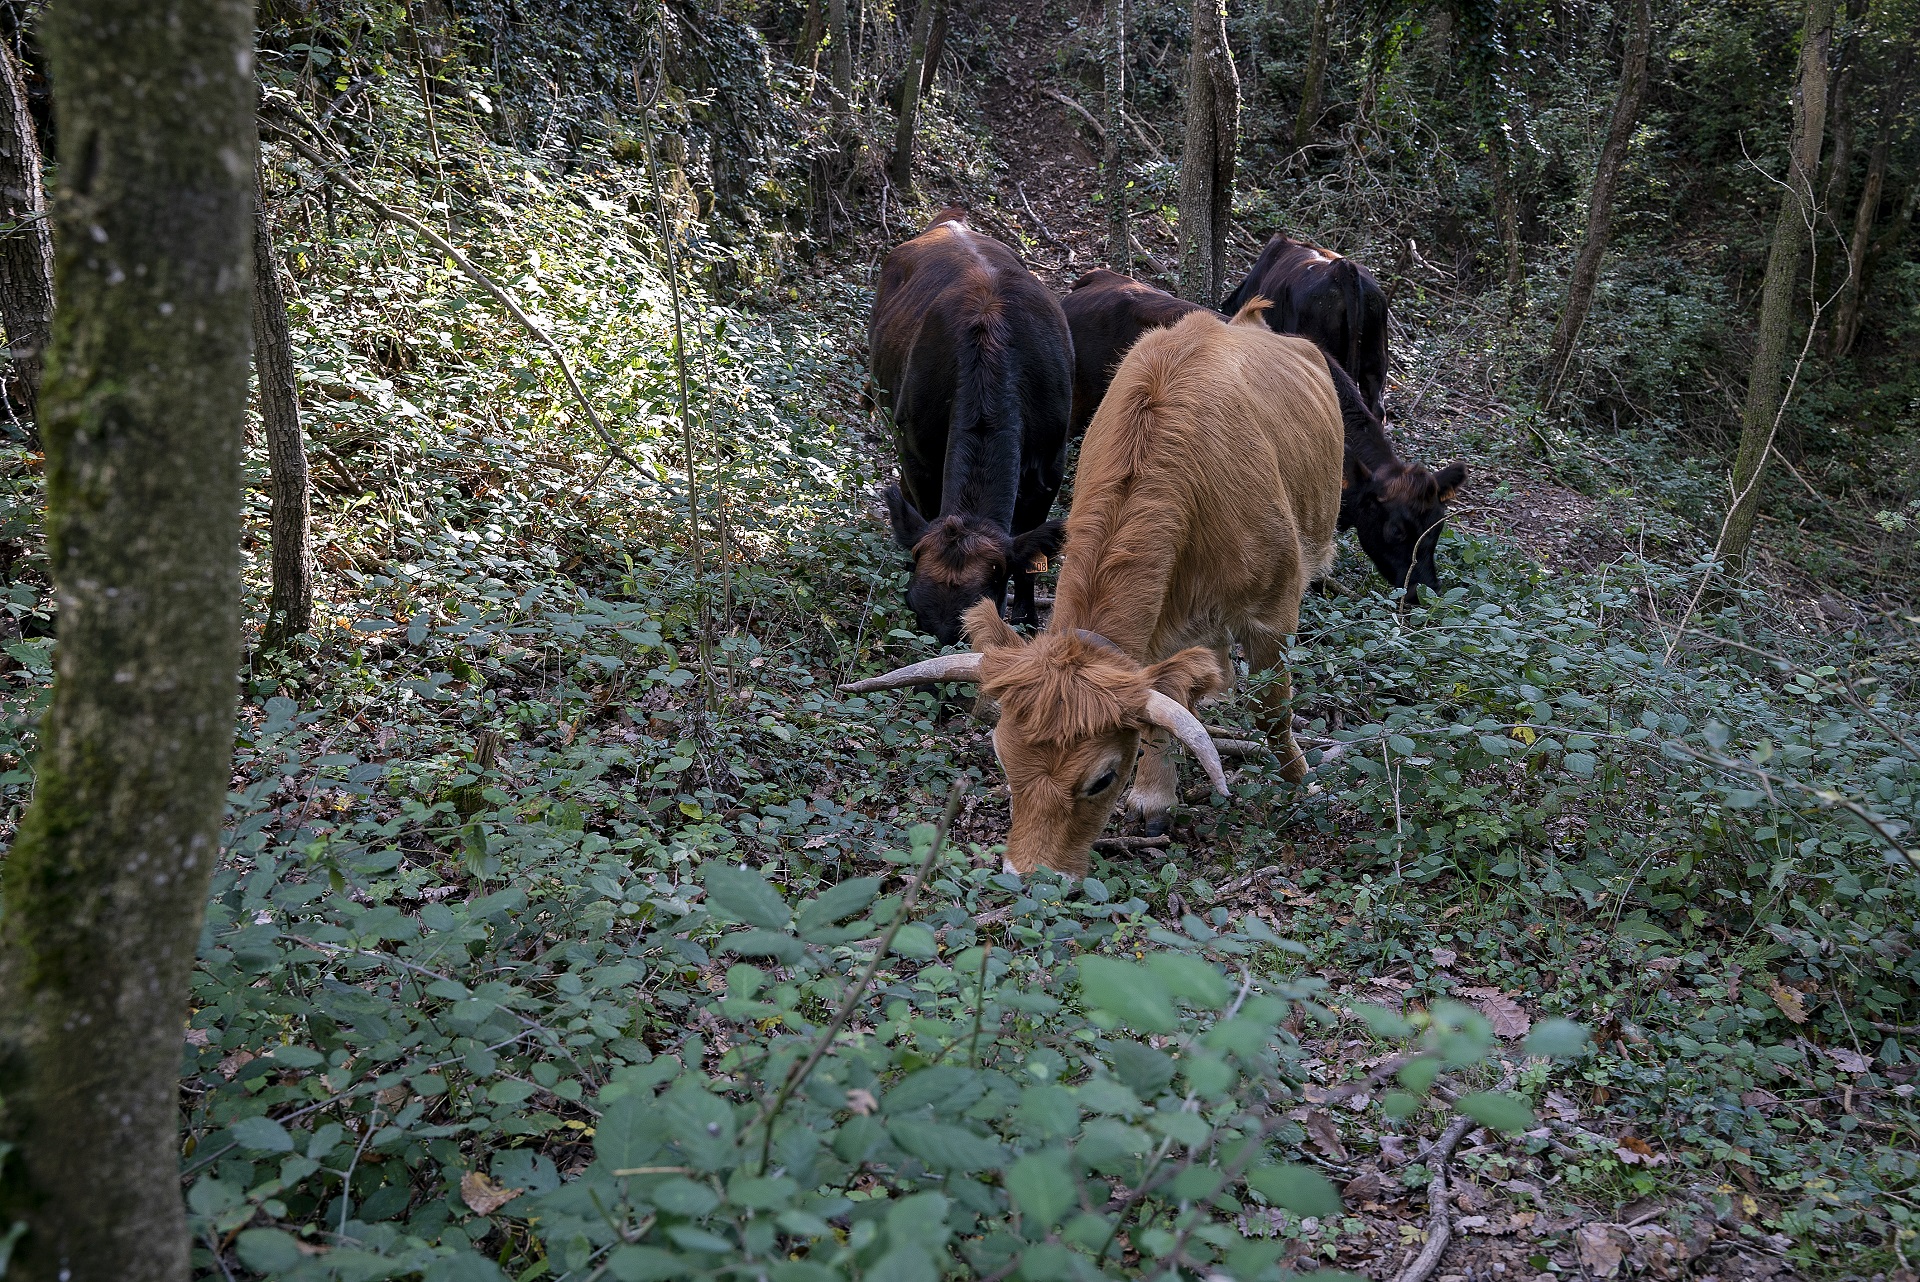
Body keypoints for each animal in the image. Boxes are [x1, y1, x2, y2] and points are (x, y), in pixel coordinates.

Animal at [840, 301, 1336, 882]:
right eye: (1002, 758)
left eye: (1101, 778)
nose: (1027, 876)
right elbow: (1168, 702)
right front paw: (1155, 798)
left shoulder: (1274, 612)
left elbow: (1272, 709)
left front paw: (1299, 781)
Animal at [875, 216, 1082, 652]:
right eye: (914, 607)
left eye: (988, 605)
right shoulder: (917, 456)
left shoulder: (1050, 467)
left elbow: (1028, 556)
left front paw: (1027, 617)